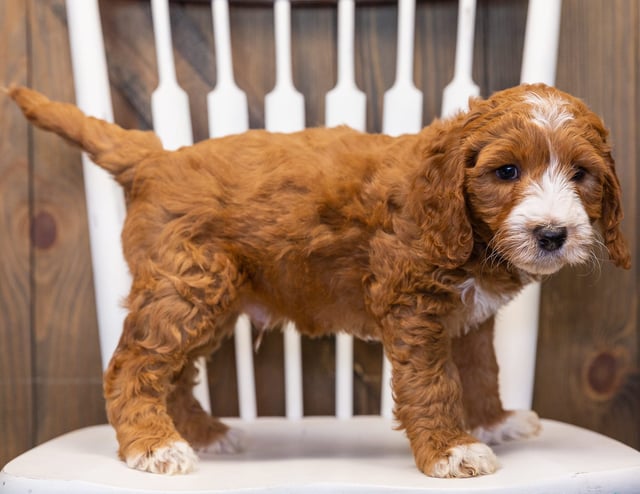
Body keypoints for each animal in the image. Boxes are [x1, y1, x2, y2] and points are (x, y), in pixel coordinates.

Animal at [10, 83, 632, 476]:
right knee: (133, 366)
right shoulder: (413, 307)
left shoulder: (471, 319)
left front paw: (494, 422)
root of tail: (158, 158)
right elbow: (433, 385)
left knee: (177, 374)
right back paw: (153, 447)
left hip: (210, 298)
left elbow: (482, 371)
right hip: (185, 288)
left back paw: (204, 434)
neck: (468, 233)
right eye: (506, 171)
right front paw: (451, 451)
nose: (552, 234)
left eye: (582, 174)